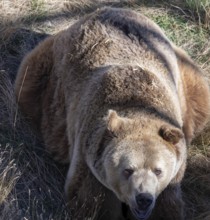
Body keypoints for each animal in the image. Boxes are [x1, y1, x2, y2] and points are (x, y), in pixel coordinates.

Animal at [14, 6, 210, 220]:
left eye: (158, 170)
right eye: (127, 170)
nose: (143, 198)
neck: (139, 105)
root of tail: (106, 9)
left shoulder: (173, 172)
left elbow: (167, 205)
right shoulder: (89, 155)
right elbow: (91, 200)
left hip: (184, 73)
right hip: (47, 74)